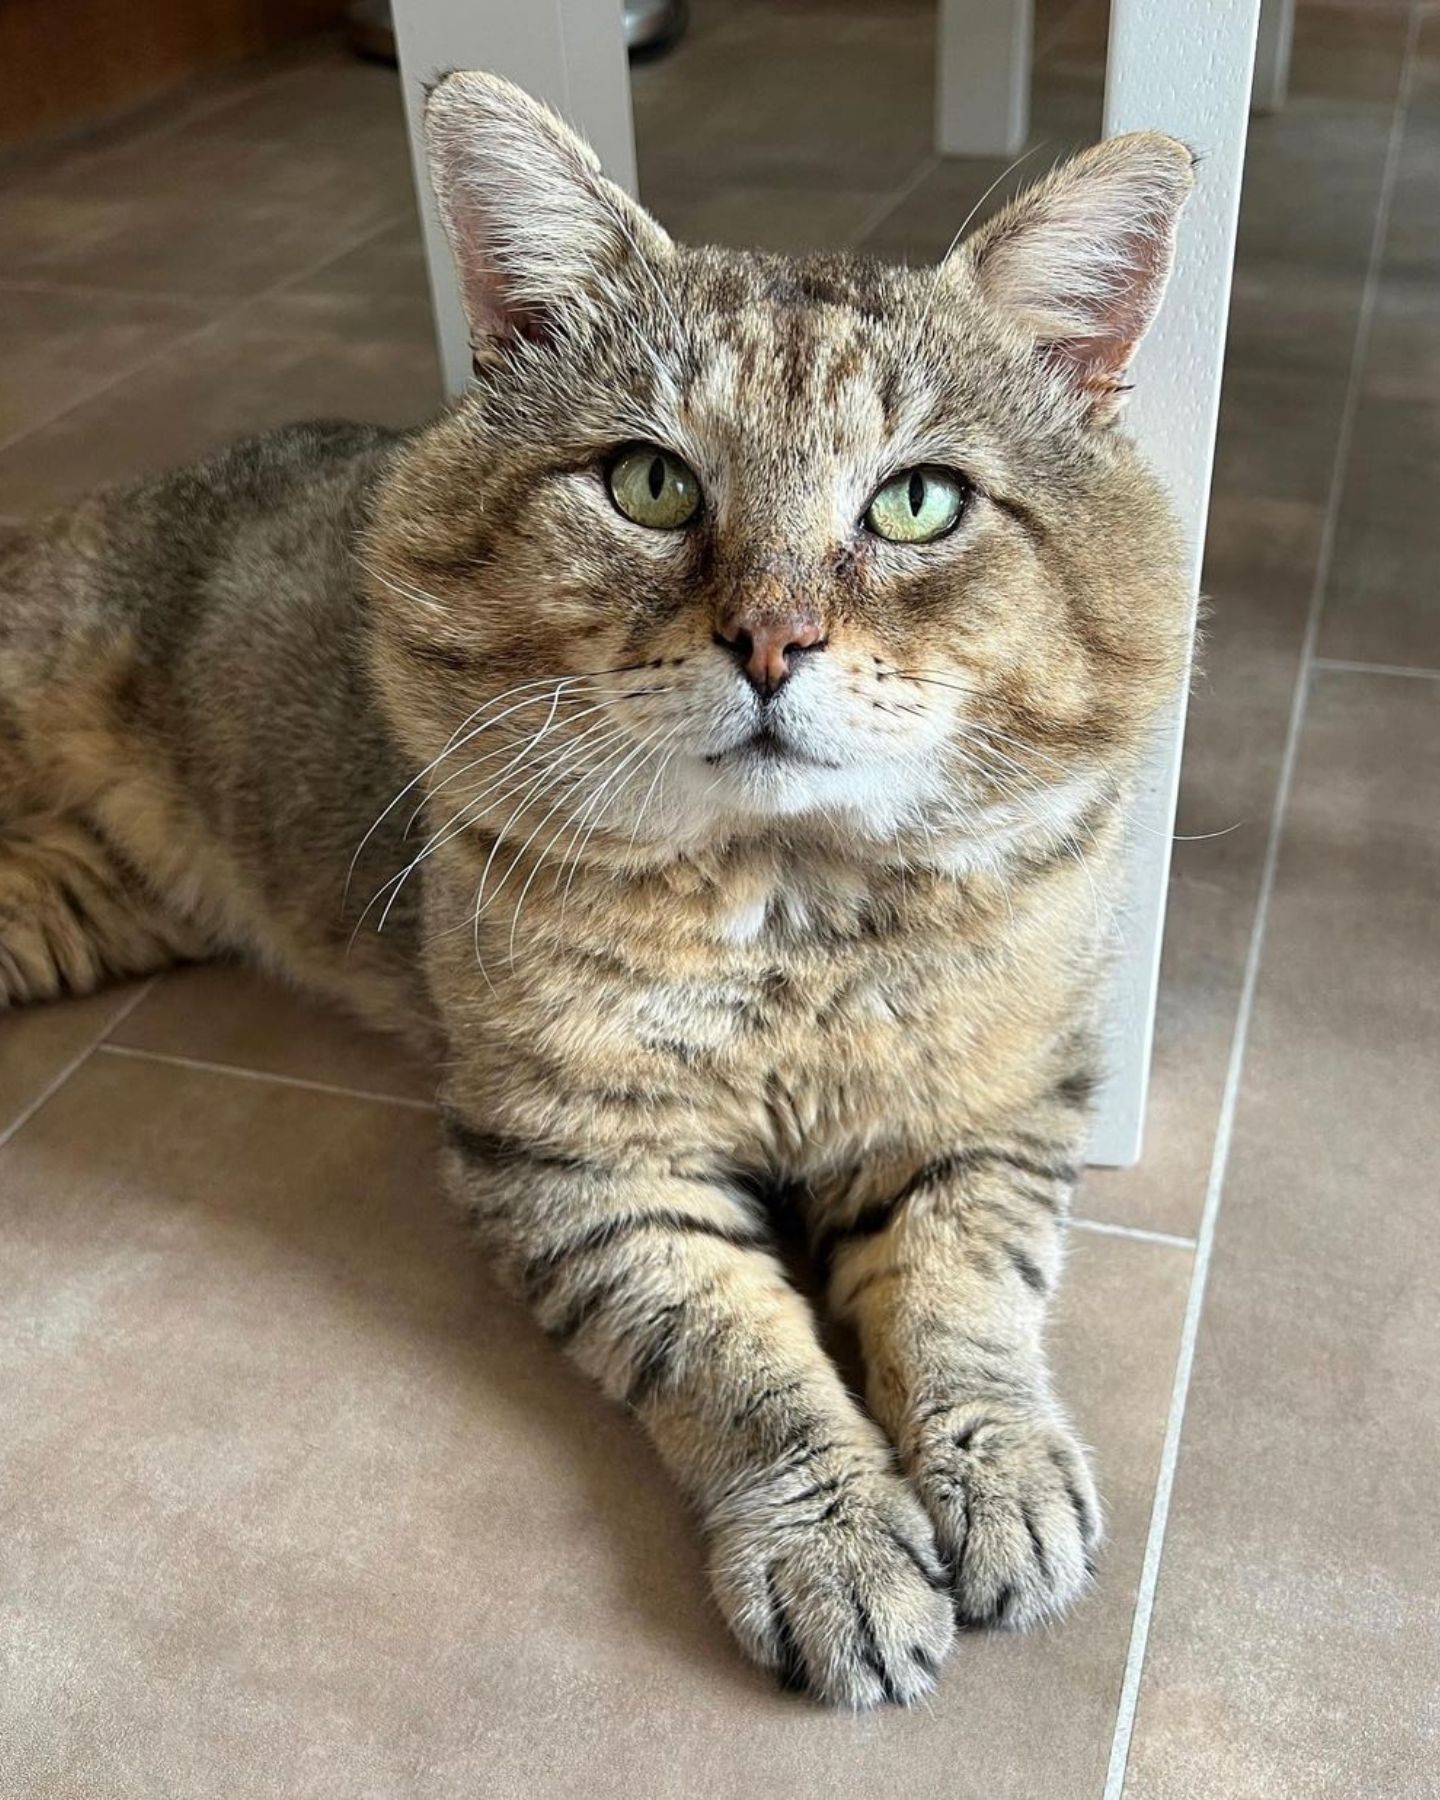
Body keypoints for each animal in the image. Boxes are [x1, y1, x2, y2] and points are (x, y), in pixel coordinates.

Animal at [0, 70, 1195, 1699]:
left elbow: (967, 1301)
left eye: (918, 504)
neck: (791, 907)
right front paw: (835, 1542)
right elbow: (743, 1360)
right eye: (649, 483)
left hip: (95, 901)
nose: (772, 642)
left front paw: (1000, 1469)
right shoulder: (584, 1167)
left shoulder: (988, 1118)